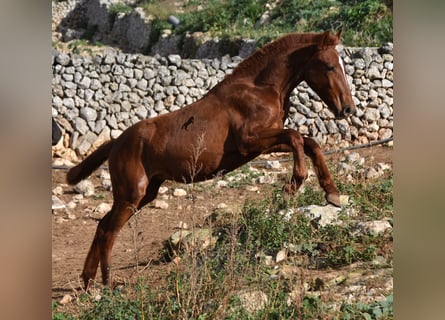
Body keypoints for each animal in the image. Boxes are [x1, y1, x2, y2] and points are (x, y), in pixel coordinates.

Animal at [67, 30, 354, 290]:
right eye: (329, 66)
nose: (347, 109)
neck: (259, 89)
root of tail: (116, 142)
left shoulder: (263, 146)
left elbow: (309, 143)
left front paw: (332, 193)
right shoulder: (250, 141)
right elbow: (296, 137)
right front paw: (292, 185)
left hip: (145, 193)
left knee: (103, 225)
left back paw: (88, 281)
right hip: (131, 194)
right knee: (108, 231)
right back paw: (106, 282)